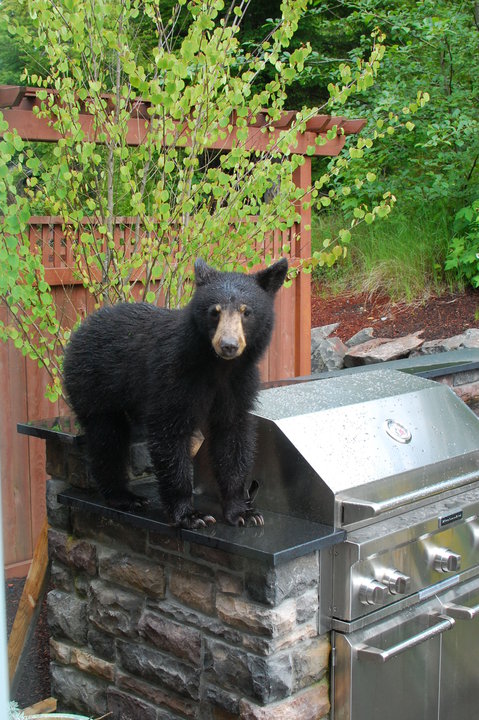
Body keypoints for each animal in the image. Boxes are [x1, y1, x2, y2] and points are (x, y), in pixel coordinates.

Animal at [62, 257, 288, 528]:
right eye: (215, 311)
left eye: (246, 312)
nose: (228, 345)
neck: (216, 367)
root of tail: (81, 328)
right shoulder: (173, 375)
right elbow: (169, 434)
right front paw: (191, 515)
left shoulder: (238, 383)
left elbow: (232, 435)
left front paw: (243, 511)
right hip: (95, 384)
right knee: (107, 438)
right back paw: (125, 497)